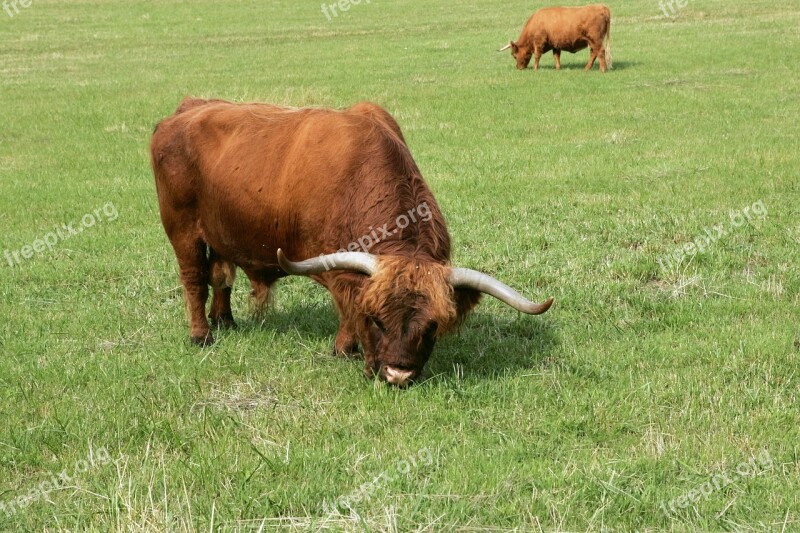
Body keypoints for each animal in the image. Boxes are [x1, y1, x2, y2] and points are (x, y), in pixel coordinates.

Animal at [148, 97, 552, 384]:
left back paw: (225, 321)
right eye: (376, 320)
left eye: (432, 327)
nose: (398, 374)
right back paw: (201, 335)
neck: (359, 179)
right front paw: (345, 349)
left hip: (220, 233)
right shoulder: (339, 269)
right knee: (195, 280)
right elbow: (347, 306)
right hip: (182, 230)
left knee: (221, 275)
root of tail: (187, 109)